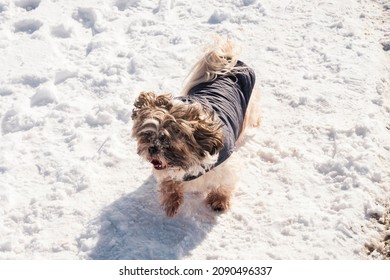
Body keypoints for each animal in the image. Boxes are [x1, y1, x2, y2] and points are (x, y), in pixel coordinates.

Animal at [130, 37, 258, 217]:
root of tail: (225, 61)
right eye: (147, 136)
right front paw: (172, 201)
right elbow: (169, 183)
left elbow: (224, 185)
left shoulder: (226, 166)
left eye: (168, 143)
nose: (152, 148)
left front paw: (219, 201)